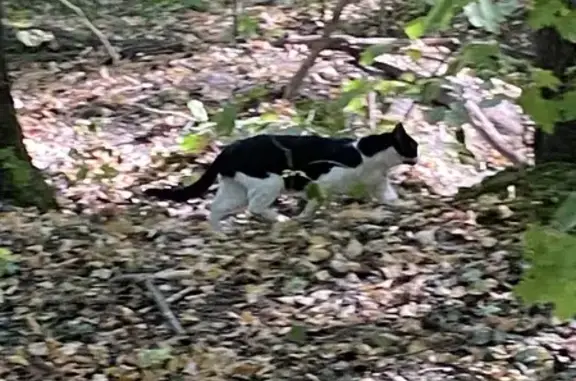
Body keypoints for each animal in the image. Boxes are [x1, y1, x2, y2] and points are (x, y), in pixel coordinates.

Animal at [142, 121, 416, 229]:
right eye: (414, 146)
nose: (418, 157)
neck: (369, 157)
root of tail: (229, 148)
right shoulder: (321, 181)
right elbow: (315, 200)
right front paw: (304, 216)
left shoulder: (379, 184)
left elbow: (392, 199)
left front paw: (407, 206)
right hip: (269, 182)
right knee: (254, 206)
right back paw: (280, 219)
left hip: (235, 188)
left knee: (216, 207)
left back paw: (219, 233)